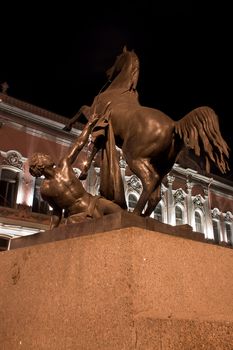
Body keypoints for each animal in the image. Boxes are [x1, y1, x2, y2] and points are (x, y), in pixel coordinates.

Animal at [62, 46, 230, 216]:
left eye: (117, 57)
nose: (108, 72)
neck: (120, 89)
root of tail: (174, 125)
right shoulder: (103, 131)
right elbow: (95, 148)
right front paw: (84, 172)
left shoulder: (94, 115)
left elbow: (82, 109)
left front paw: (68, 126)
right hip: (161, 167)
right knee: (156, 192)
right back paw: (143, 215)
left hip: (133, 156)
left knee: (149, 181)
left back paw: (134, 213)